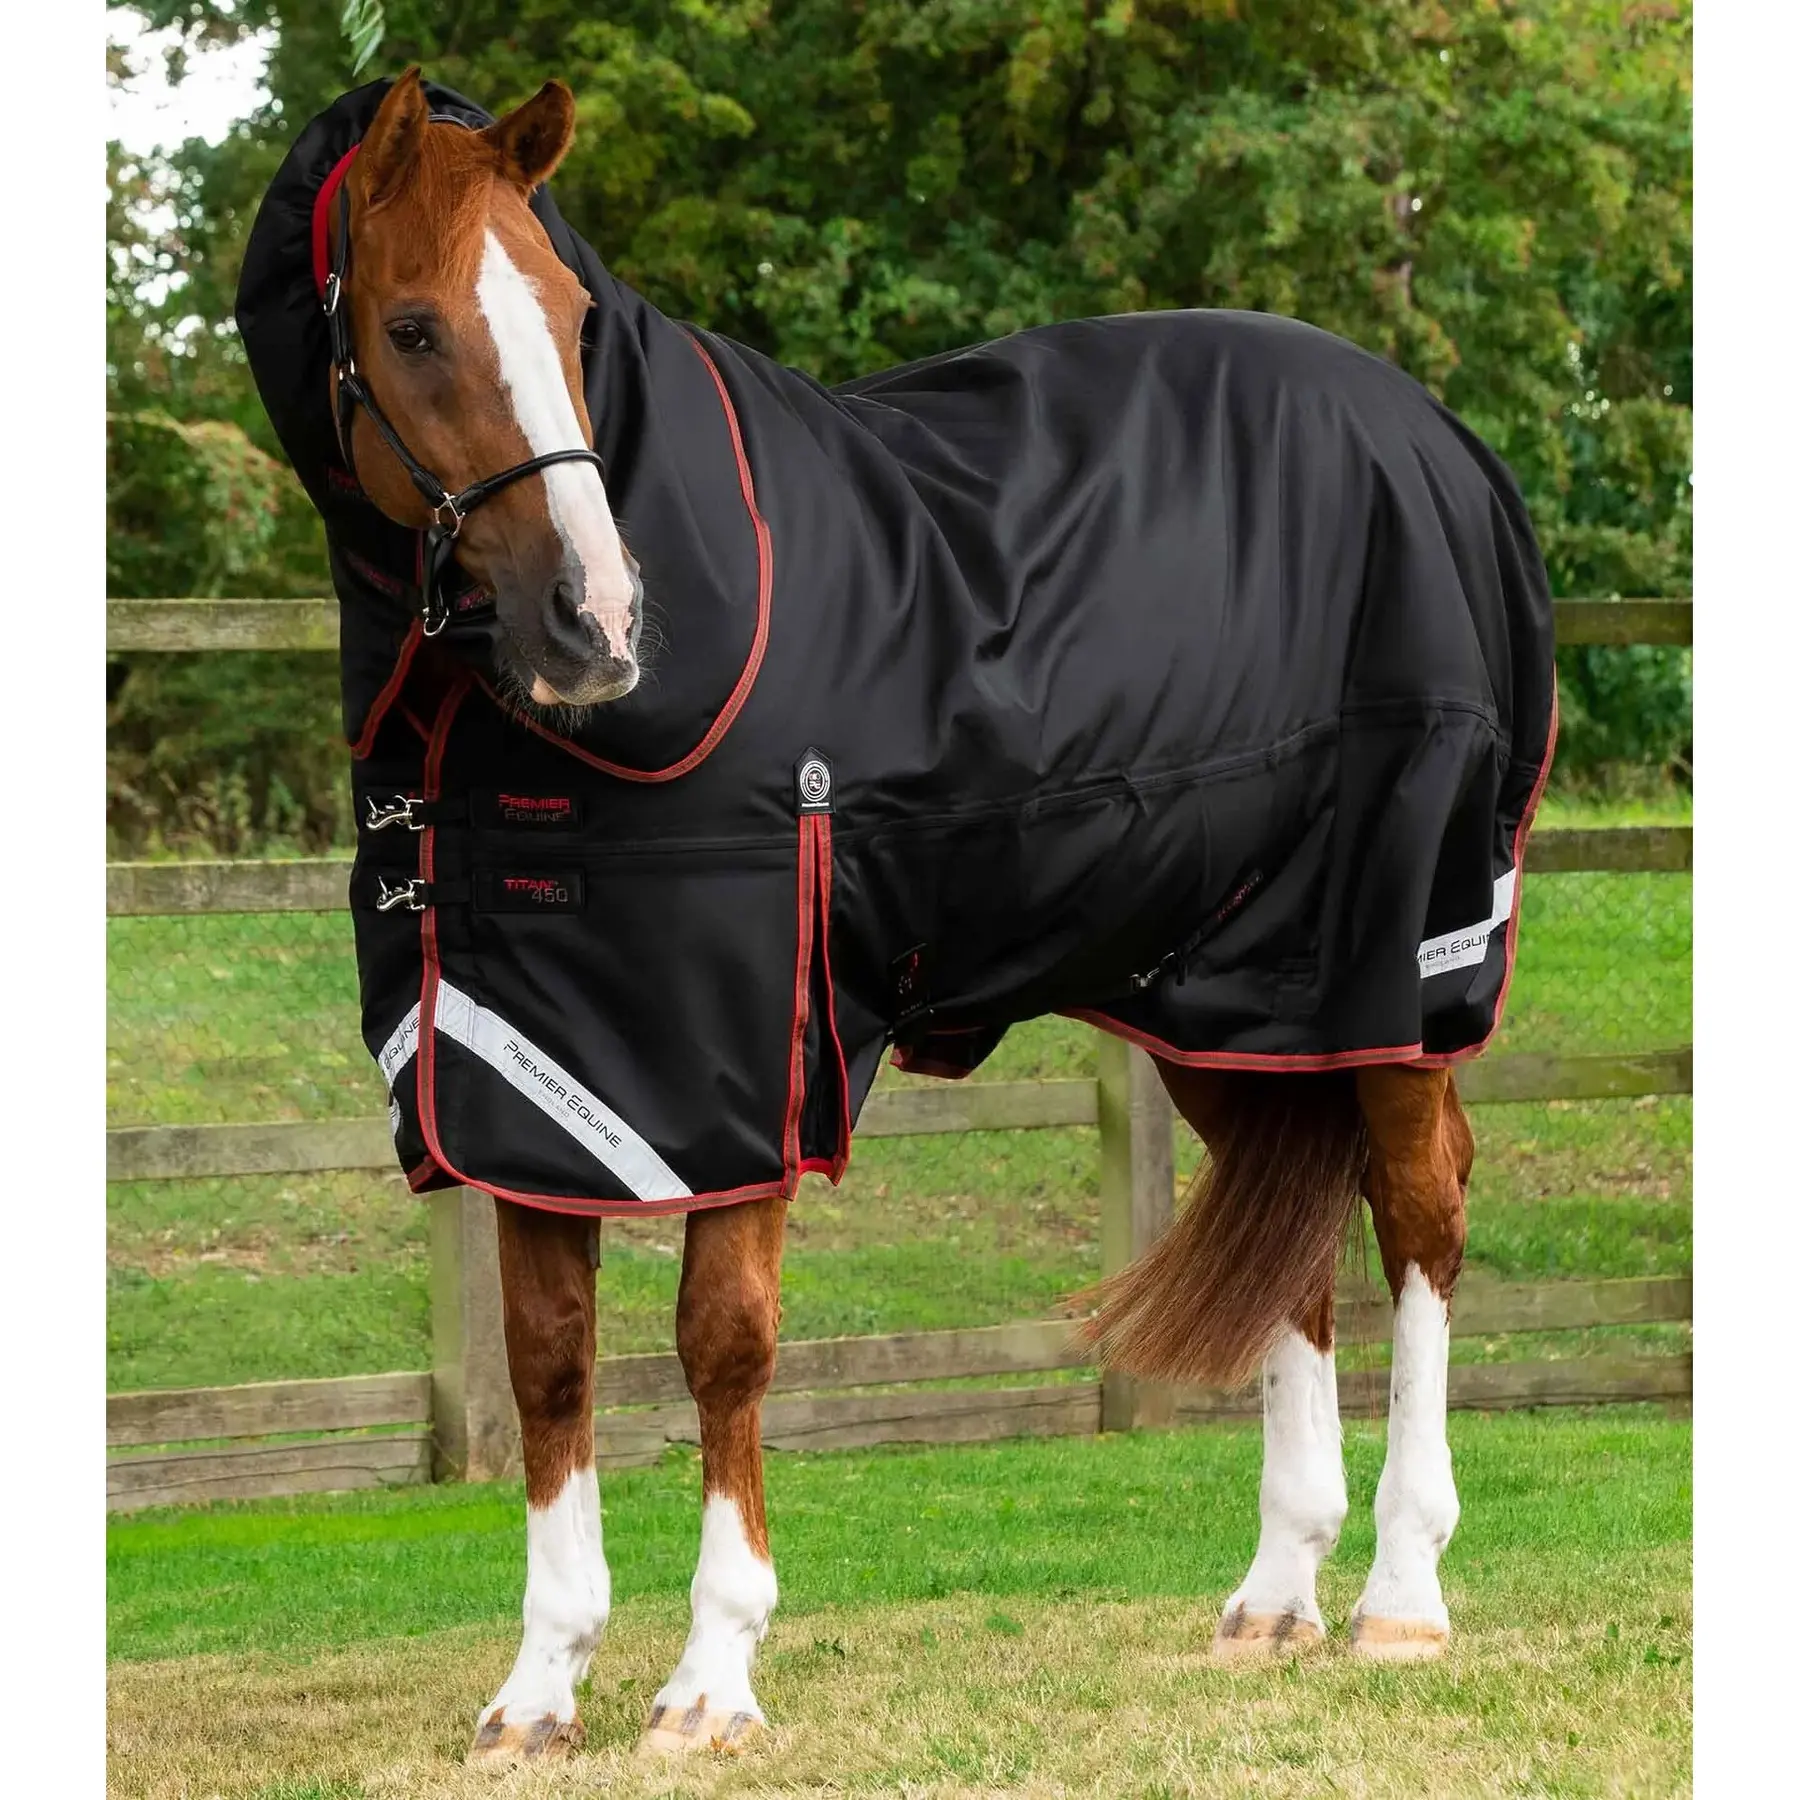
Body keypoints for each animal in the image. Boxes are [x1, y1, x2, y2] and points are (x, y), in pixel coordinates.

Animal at [235, 68, 1555, 1765]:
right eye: (410, 326)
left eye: (575, 314)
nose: (599, 621)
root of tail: (1440, 437)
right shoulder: (538, 1078)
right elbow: (548, 1362)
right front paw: (538, 1689)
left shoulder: (748, 1064)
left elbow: (722, 1342)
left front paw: (712, 1678)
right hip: (1235, 999)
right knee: (1294, 1226)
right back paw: (1276, 1596)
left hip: (1393, 963)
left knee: (1420, 1210)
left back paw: (1401, 1594)